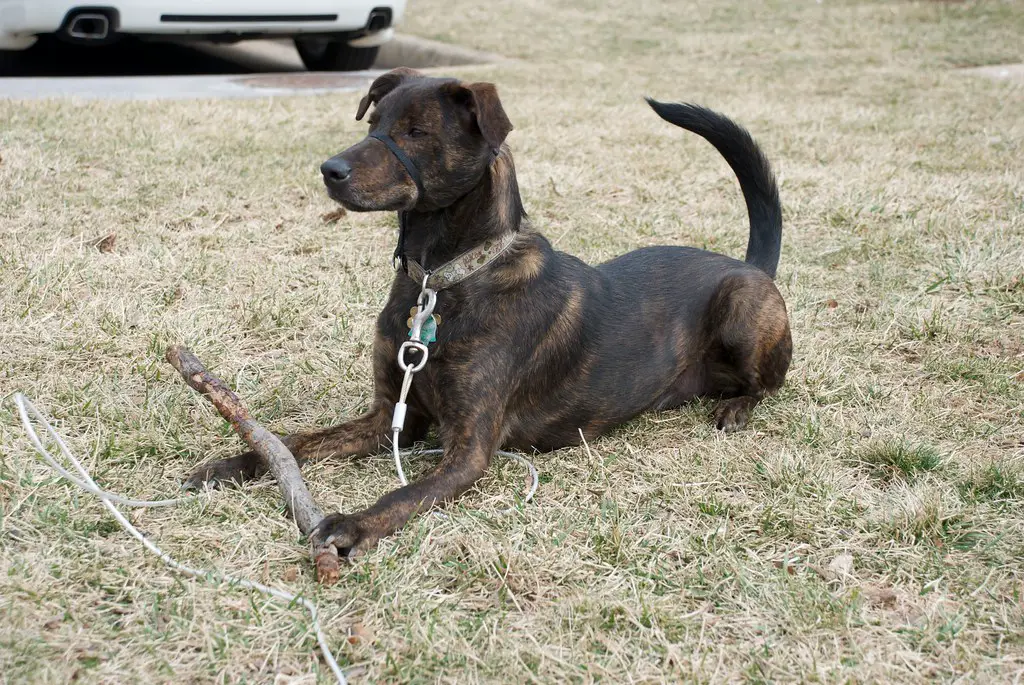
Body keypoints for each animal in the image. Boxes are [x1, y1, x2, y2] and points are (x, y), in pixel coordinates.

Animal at [184, 66, 790, 557]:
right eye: (373, 122)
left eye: (417, 132)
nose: (329, 169)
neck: (442, 280)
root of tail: (747, 263)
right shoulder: (390, 419)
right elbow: (298, 442)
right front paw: (235, 465)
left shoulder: (469, 450)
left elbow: (403, 492)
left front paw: (354, 524)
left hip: (742, 306)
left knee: (768, 384)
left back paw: (737, 408)